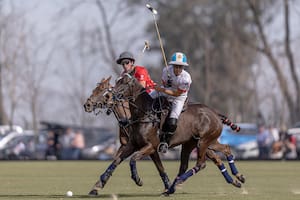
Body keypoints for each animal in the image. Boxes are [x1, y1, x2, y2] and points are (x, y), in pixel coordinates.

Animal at [85, 74, 246, 195]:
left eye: (123, 84)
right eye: (95, 89)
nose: (87, 105)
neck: (142, 115)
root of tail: (215, 113)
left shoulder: (151, 146)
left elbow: (134, 159)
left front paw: (138, 179)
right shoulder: (132, 145)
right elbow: (116, 161)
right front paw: (97, 186)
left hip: (203, 142)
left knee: (202, 163)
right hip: (197, 143)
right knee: (221, 151)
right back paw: (237, 179)